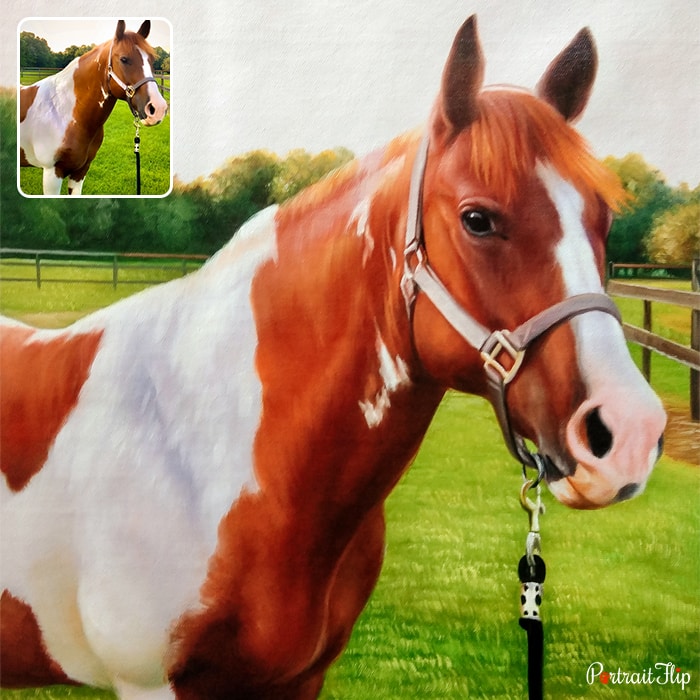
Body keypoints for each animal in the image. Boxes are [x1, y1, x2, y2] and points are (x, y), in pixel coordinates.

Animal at [19, 20, 168, 196]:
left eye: (151, 59)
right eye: (124, 59)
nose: (158, 109)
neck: (64, 113)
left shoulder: (81, 171)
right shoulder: (52, 174)